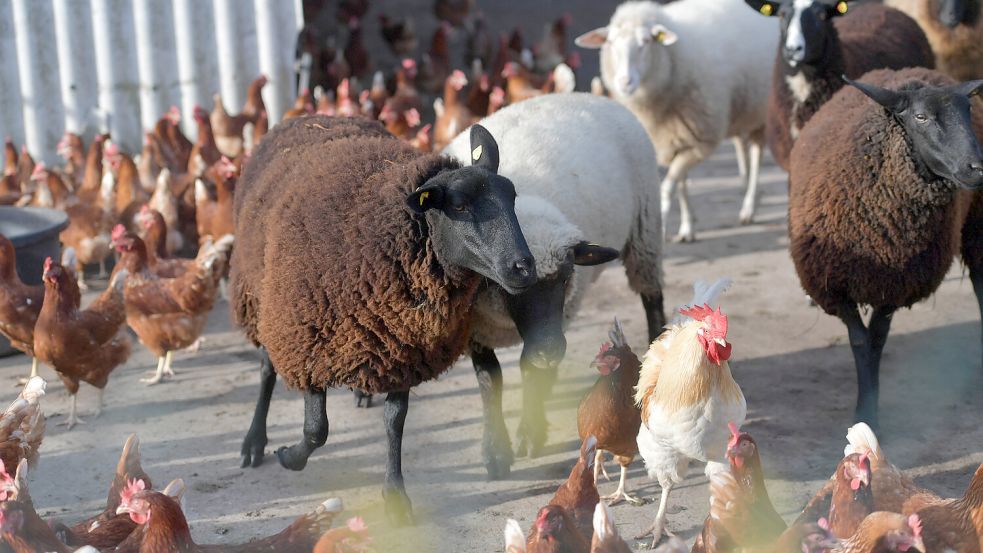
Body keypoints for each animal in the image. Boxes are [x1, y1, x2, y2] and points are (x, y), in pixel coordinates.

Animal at [229, 115, 537, 525]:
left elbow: (395, 420)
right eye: (459, 205)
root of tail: (309, 117)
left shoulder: (402, 343)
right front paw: (289, 458)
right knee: (266, 369)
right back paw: (253, 443)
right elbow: (316, 429)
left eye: (512, 197)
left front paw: (394, 496)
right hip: (265, 301)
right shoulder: (309, 338)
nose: (524, 268)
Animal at [440, 93, 664, 475]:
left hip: (645, 231)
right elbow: (490, 381)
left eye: (564, 276)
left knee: (652, 298)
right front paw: (496, 452)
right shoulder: (474, 326)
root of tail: (592, 95)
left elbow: (530, 371)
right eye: (508, 285)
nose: (549, 348)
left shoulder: (559, 315)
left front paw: (530, 434)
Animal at [575, 0, 779, 242]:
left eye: (646, 41)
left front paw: (663, 228)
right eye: (611, 42)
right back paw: (745, 190)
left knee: (757, 157)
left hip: (762, 111)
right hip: (740, 109)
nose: (624, 82)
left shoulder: (697, 142)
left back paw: (749, 206)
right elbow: (682, 186)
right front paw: (687, 227)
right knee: (741, 147)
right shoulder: (677, 136)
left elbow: (668, 187)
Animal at [788, 67, 983, 429]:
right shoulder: (836, 283)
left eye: (967, 112)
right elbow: (861, 341)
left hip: (978, 226)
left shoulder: (894, 284)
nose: (977, 168)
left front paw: (868, 411)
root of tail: (911, 72)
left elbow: (876, 340)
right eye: (920, 117)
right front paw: (865, 414)